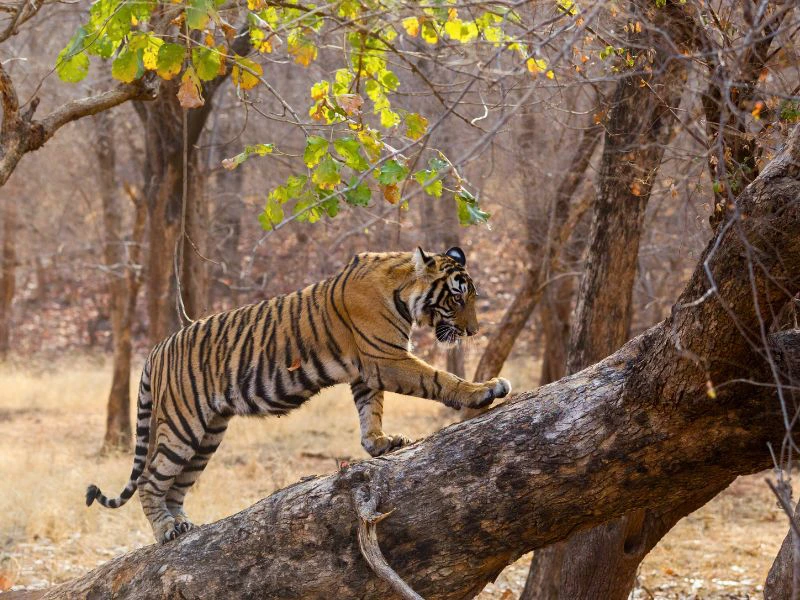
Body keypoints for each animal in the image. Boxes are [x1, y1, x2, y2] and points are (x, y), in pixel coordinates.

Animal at [86, 246, 512, 543]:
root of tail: (156, 349)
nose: (473, 331)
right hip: (181, 425)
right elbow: (440, 378)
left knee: (175, 485)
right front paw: (484, 390)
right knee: (150, 479)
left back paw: (182, 525)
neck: (402, 288)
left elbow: (370, 409)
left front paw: (379, 443)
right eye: (457, 298)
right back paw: (165, 531)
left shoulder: (367, 370)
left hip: (207, 435)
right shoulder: (385, 358)